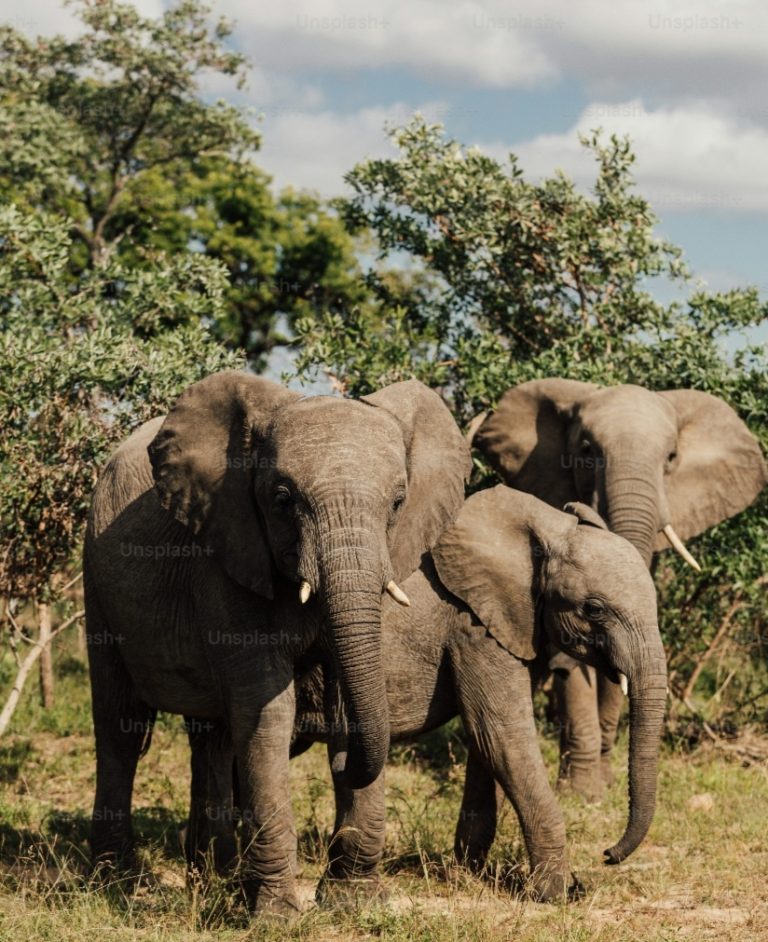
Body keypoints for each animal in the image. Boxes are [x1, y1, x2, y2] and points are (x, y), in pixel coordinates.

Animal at [83, 369, 471, 916]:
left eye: (398, 503)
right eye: (283, 499)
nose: (345, 762)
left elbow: (343, 697)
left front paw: (356, 903)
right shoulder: (226, 553)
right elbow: (267, 709)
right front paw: (277, 916)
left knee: (211, 735)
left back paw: (215, 875)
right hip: (96, 579)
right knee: (121, 724)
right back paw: (118, 882)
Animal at [280, 485, 666, 904]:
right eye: (594, 609)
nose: (608, 854)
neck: (543, 527)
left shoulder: (511, 624)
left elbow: (487, 743)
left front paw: (470, 873)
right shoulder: (474, 626)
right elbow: (501, 734)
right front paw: (560, 892)